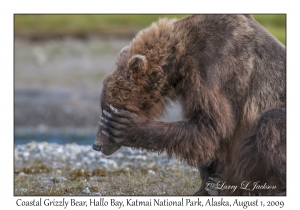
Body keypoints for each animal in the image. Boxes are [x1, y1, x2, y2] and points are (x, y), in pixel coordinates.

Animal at [93, 14, 286, 195]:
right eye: (103, 106)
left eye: (107, 109)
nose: (97, 145)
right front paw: (210, 185)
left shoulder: (216, 69)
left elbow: (212, 127)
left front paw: (125, 125)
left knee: (271, 122)